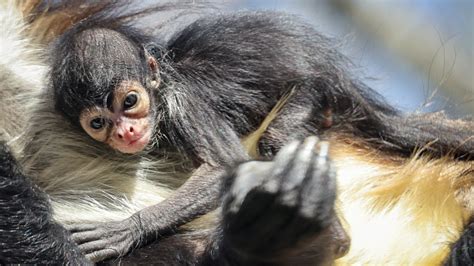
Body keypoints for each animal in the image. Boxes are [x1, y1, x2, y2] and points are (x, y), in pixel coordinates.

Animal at [0, 0, 472, 264]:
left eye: (129, 102)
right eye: (99, 122)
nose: (126, 131)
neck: (162, 82)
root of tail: (334, 73)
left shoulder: (184, 103)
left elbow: (223, 167)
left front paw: (127, 230)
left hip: (311, 93)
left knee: (275, 140)